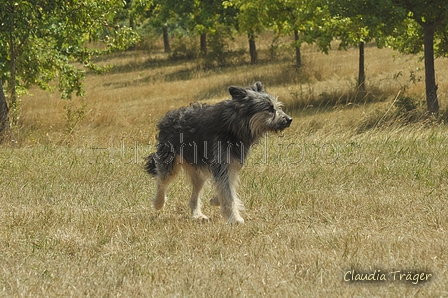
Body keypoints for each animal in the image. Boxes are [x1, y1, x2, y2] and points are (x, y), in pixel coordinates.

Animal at [144, 81, 290, 224]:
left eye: (277, 107)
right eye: (269, 109)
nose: (289, 119)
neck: (233, 126)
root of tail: (168, 117)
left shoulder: (231, 164)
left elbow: (228, 187)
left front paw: (216, 200)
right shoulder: (220, 164)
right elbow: (228, 194)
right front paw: (234, 218)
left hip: (198, 172)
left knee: (194, 196)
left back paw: (197, 214)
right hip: (170, 162)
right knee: (161, 181)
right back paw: (158, 203)